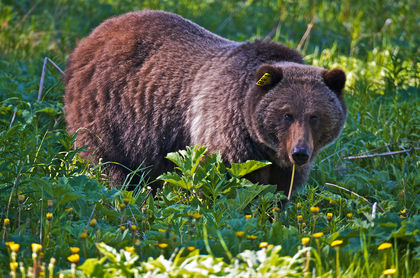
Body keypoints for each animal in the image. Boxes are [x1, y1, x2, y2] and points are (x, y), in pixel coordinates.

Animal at [64, 10, 346, 193]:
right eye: (287, 114)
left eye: (314, 116)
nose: (300, 152)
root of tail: (92, 36)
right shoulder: (225, 132)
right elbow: (223, 180)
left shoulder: (283, 164)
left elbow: (279, 191)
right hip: (109, 112)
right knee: (106, 159)